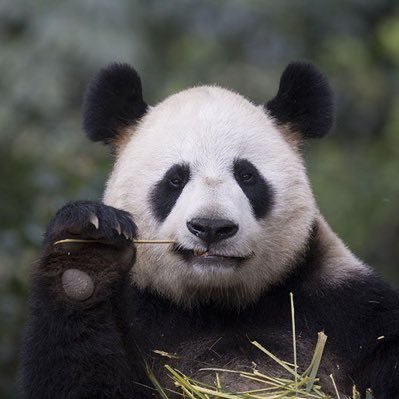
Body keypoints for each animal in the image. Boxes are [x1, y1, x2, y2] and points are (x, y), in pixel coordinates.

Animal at [21, 62, 399, 399]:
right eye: (175, 179)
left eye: (247, 176)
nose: (212, 227)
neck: (215, 304)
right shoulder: (139, 312)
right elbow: (81, 380)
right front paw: (85, 257)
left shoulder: (349, 311)